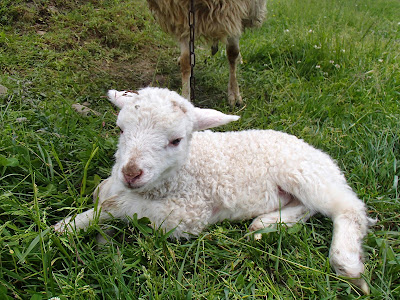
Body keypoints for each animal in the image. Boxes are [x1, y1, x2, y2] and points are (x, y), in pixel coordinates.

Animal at [55, 88, 376, 294]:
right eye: (121, 129)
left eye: (176, 140)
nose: (131, 173)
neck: (182, 173)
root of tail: (318, 153)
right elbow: (102, 194)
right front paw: (88, 234)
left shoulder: (186, 214)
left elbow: (113, 205)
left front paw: (66, 228)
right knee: (308, 208)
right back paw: (266, 223)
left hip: (306, 173)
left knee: (348, 208)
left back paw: (346, 262)